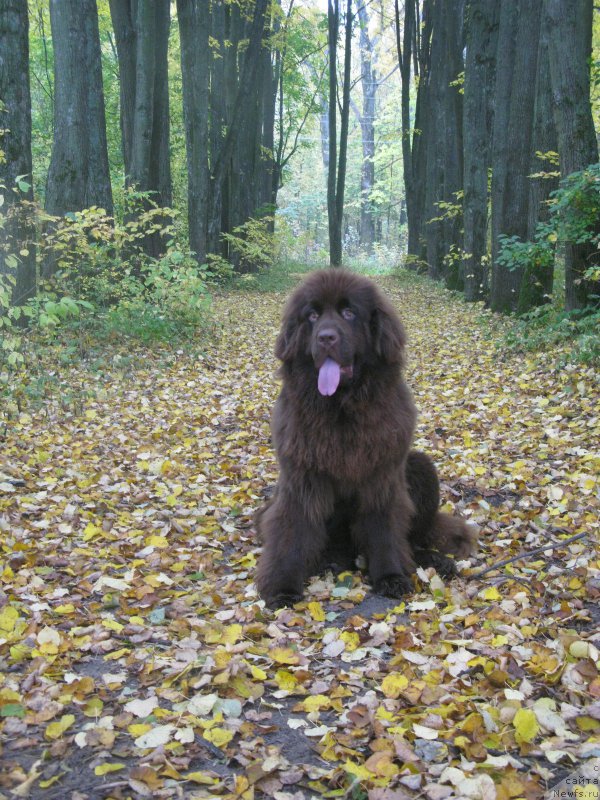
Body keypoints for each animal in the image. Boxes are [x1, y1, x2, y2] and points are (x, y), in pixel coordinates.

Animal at [255, 268, 476, 608]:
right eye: (312, 315)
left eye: (349, 313)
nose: (325, 337)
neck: (342, 410)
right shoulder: (301, 479)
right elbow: (292, 531)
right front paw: (282, 587)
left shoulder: (381, 477)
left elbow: (384, 530)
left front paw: (391, 576)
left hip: (421, 466)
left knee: (414, 538)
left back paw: (436, 561)